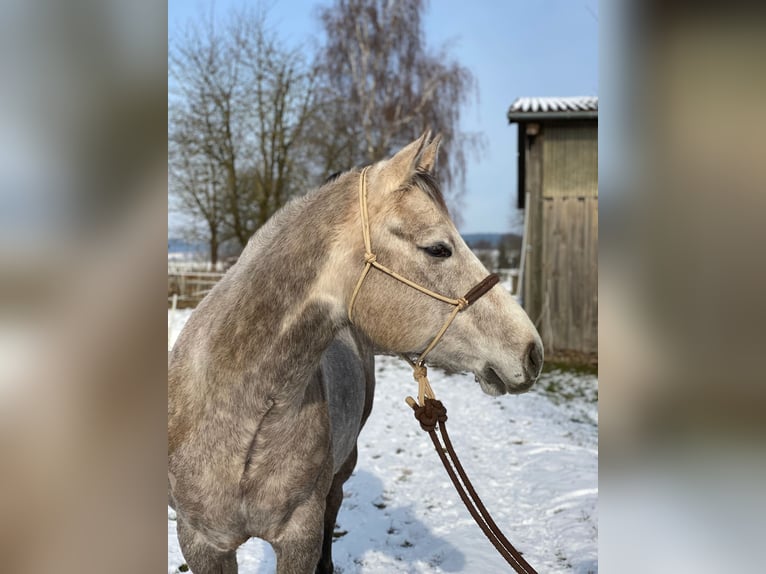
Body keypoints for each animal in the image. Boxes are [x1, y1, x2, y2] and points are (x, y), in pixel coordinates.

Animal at [168, 133, 544, 574]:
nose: (532, 351)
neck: (239, 419)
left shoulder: (299, 536)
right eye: (438, 249)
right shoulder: (202, 542)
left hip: (341, 470)